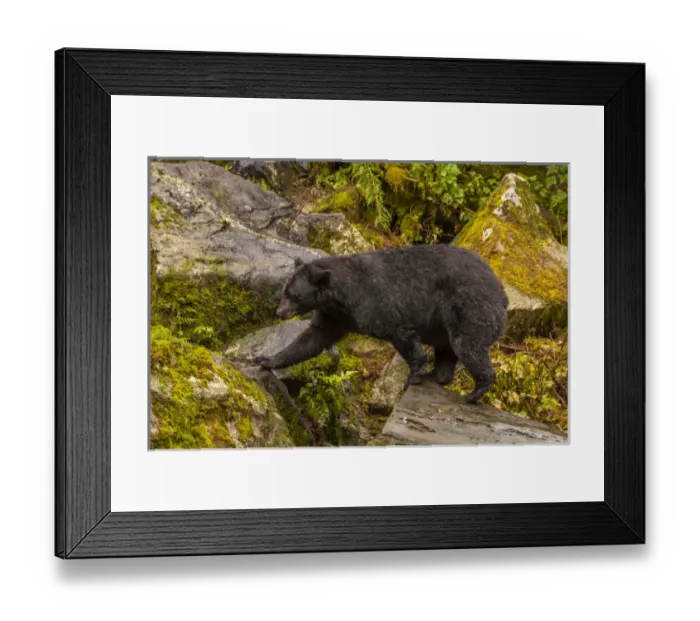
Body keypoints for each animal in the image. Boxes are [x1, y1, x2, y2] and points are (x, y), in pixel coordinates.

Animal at [257, 244, 509, 403]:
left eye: (294, 295)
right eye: (285, 290)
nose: (279, 311)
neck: (344, 297)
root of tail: (502, 293)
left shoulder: (379, 304)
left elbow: (402, 335)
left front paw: (412, 375)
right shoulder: (335, 317)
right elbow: (312, 339)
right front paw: (265, 359)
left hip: (470, 310)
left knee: (467, 346)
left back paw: (475, 392)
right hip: (446, 324)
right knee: (448, 350)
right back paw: (438, 376)